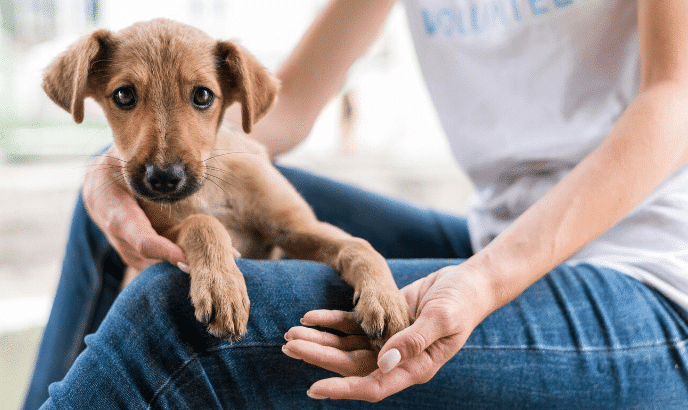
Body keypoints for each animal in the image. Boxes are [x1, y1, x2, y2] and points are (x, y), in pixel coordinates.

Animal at [44, 19, 414, 346]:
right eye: (123, 95)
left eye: (203, 96)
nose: (163, 179)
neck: (210, 190)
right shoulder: (155, 236)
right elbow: (202, 223)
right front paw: (222, 288)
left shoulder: (297, 229)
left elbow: (359, 246)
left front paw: (386, 299)